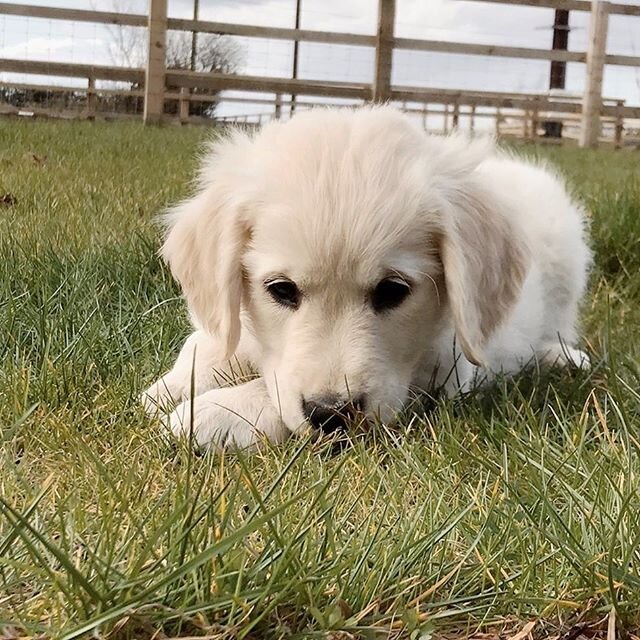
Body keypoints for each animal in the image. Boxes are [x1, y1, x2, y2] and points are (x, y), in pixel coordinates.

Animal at [141, 106, 592, 450]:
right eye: (281, 290)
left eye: (393, 291)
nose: (331, 413)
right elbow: (207, 343)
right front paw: (173, 386)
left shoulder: (440, 373)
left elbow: (271, 389)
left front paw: (218, 412)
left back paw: (562, 357)